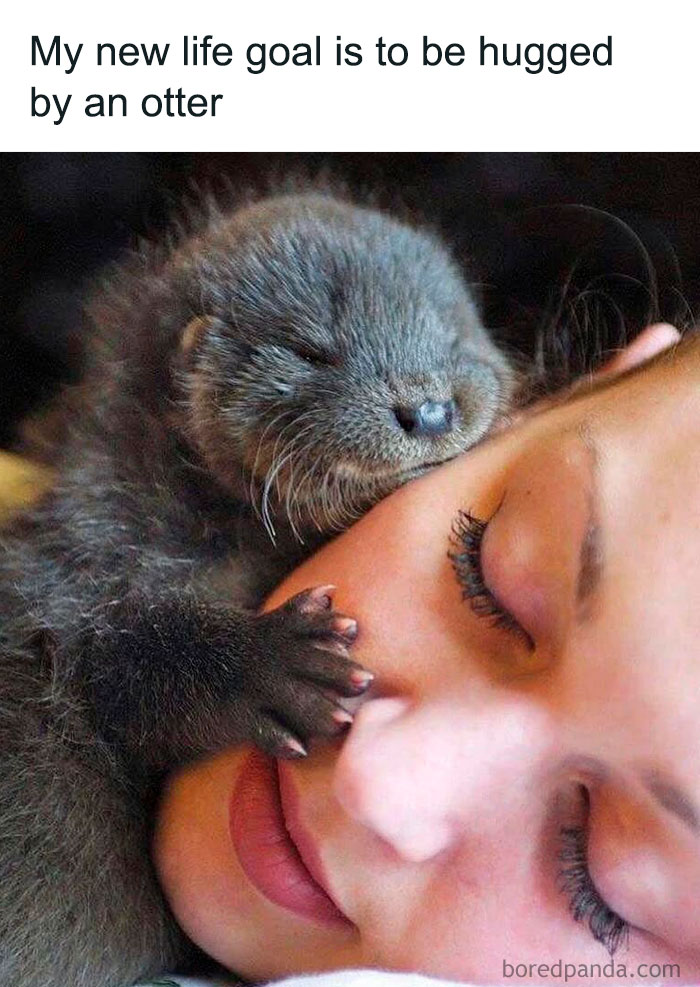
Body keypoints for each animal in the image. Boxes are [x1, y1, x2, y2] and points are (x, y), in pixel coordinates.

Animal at [0, 188, 513, 987]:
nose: (428, 408)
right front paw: (271, 664)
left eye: (452, 335)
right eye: (312, 351)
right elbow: (116, 661)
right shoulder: (80, 567)